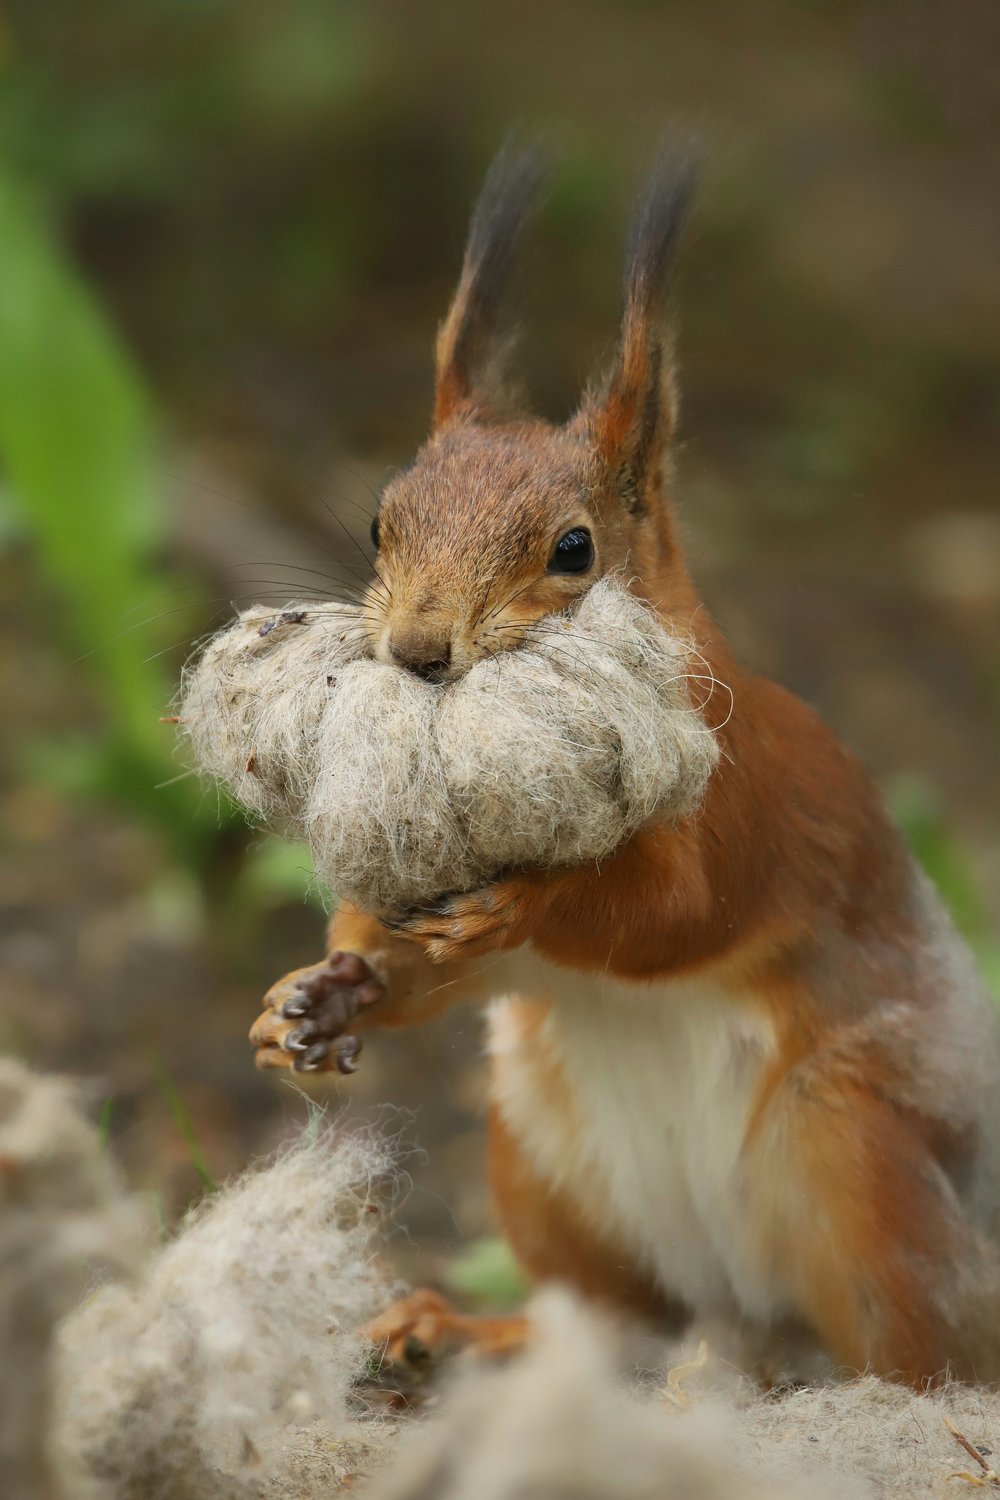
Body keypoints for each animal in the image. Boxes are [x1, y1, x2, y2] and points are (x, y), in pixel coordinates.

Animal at [248, 146, 1000, 1386]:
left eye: (572, 551)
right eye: (377, 524)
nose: (416, 648)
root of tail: (745, 1315)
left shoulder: (739, 805)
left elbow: (674, 912)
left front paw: (528, 902)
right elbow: (412, 970)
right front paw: (314, 999)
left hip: (852, 1159)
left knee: (916, 1350)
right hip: (544, 1160)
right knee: (595, 1317)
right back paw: (459, 1330)